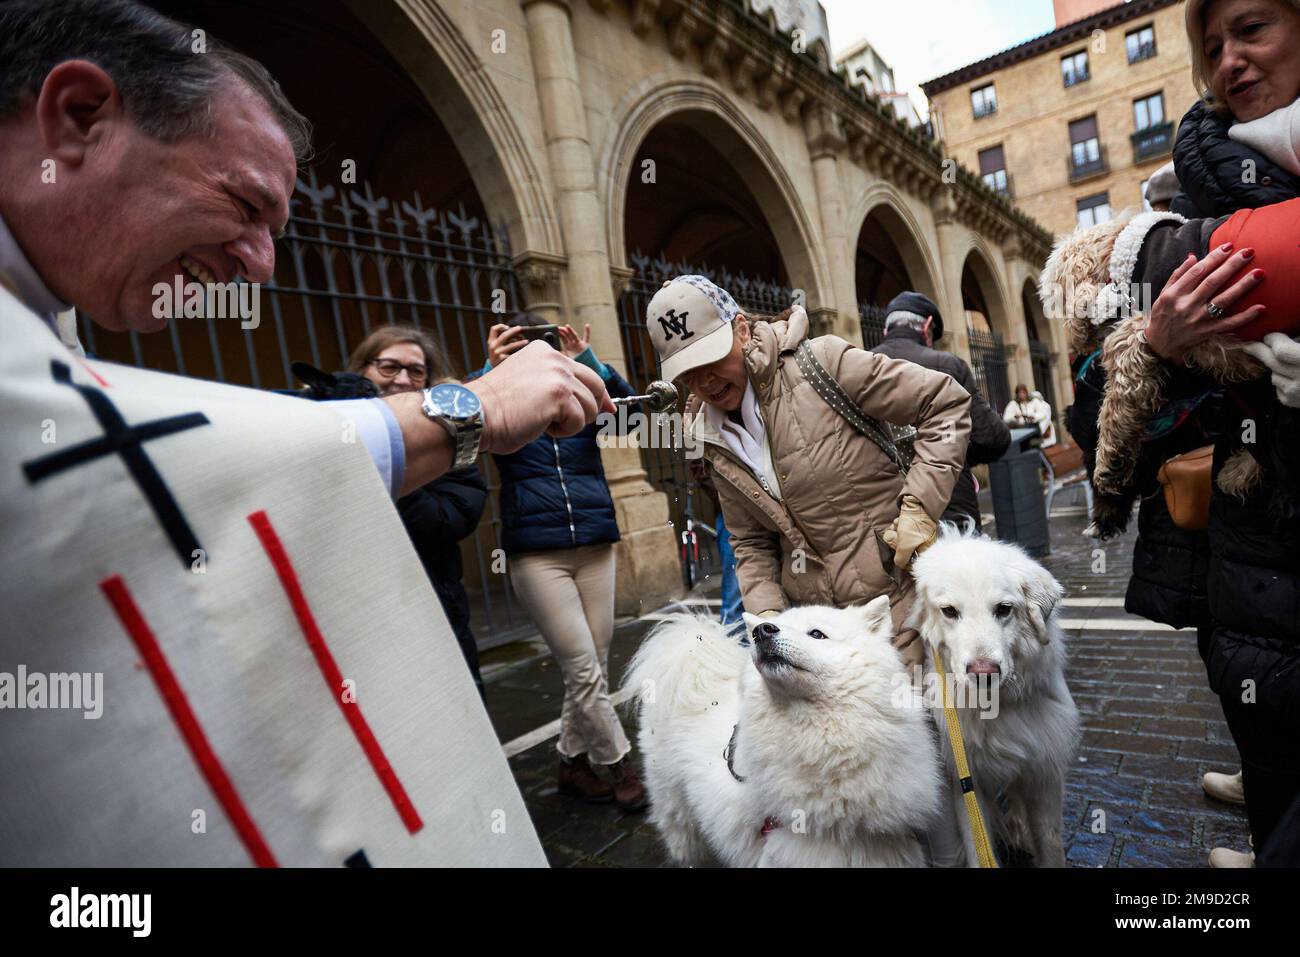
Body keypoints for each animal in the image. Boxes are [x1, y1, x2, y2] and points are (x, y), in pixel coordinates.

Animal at [904, 527, 1076, 868]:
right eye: (949, 611)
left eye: (1003, 609)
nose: (983, 672)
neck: (996, 708)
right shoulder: (966, 779)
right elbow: (976, 842)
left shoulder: (1044, 772)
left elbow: (1050, 843)